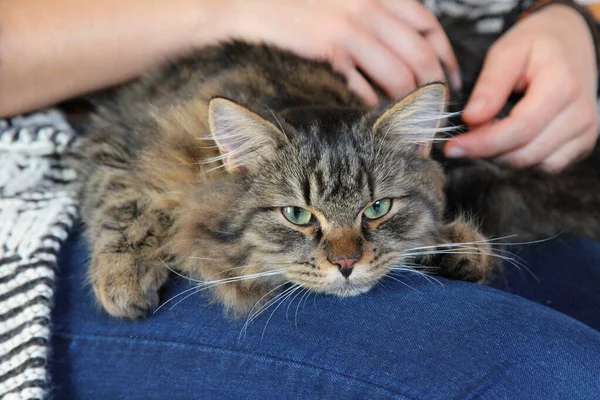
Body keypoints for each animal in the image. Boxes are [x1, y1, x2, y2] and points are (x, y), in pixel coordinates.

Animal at [74, 42, 492, 320]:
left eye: (377, 208)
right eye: (297, 215)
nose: (346, 263)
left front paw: (455, 248)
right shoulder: (114, 144)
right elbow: (122, 202)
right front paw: (122, 278)